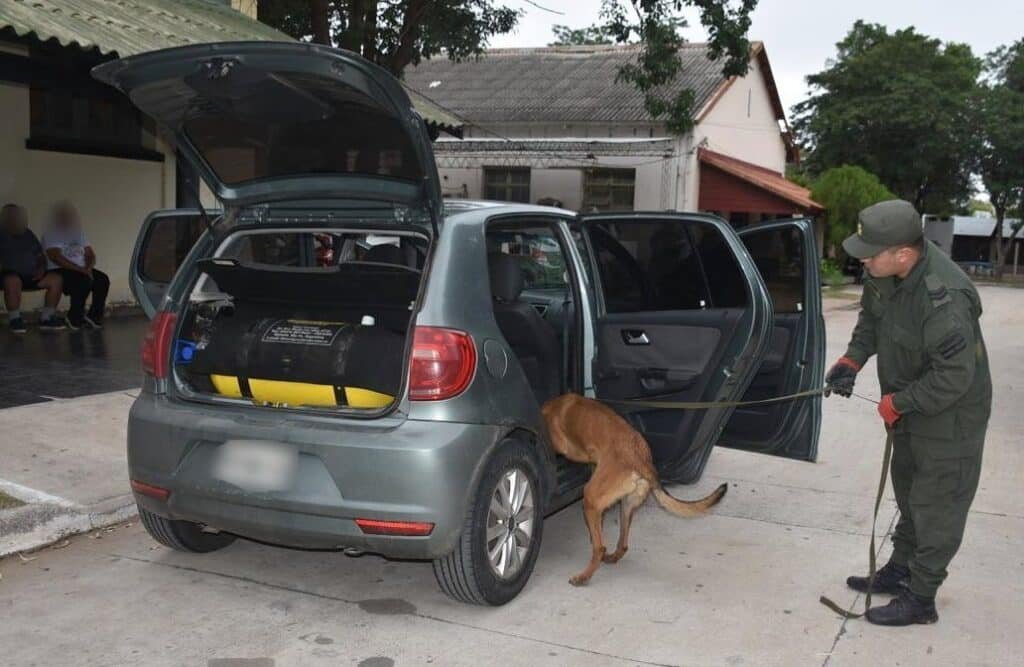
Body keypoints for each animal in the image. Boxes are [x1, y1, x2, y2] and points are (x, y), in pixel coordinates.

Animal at [542, 393, 728, 586]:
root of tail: (640, 458)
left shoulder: (563, 446)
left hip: (591, 498)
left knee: (600, 547)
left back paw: (583, 576)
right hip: (627, 505)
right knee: (622, 545)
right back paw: (610, 556)